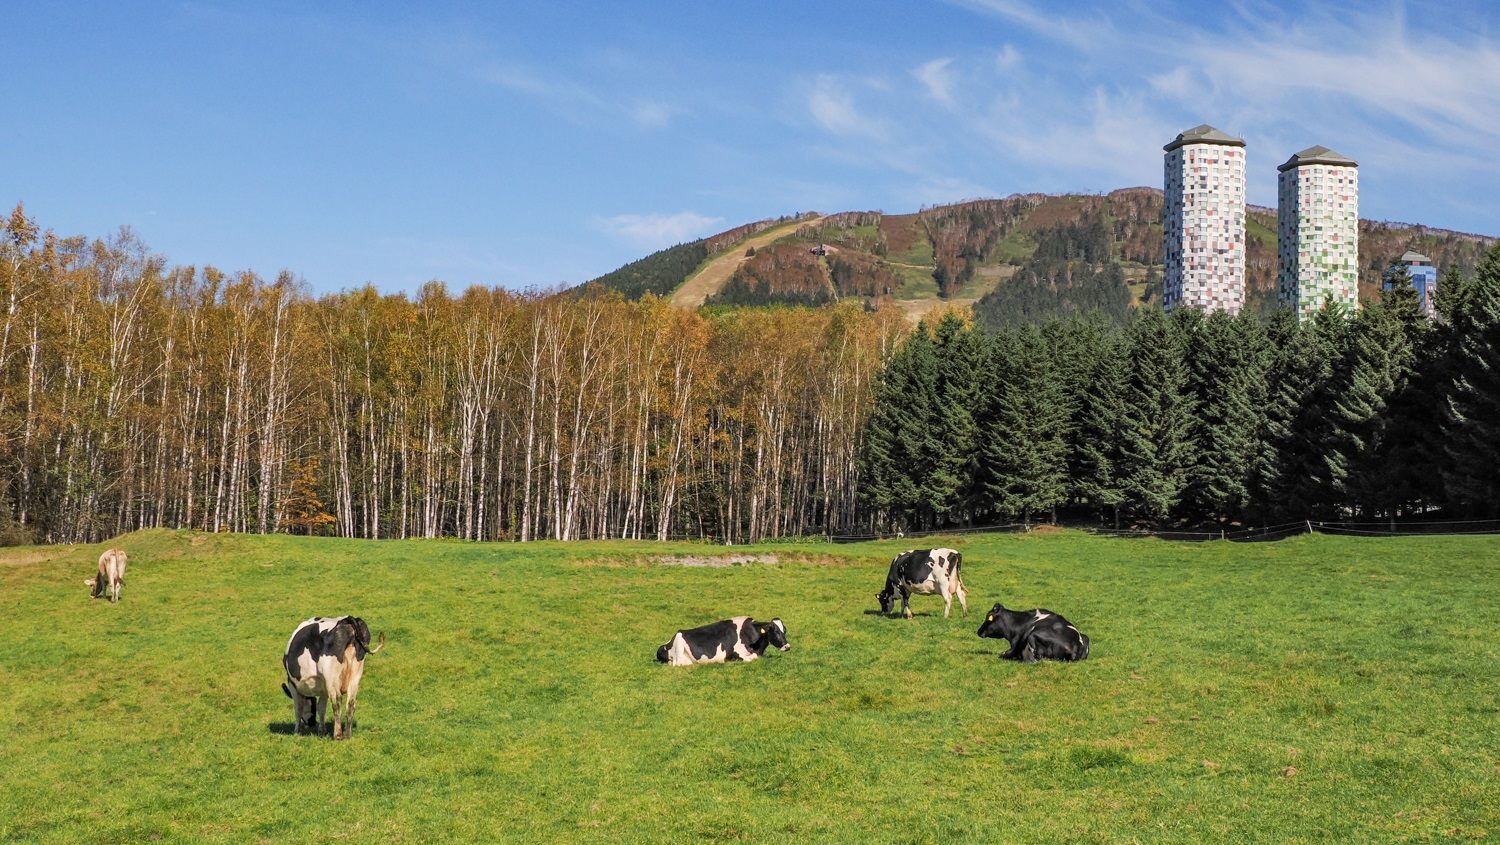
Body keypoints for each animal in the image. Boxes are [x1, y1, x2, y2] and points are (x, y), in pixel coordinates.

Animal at [660, 615, 798, 669]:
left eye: (784, 630)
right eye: (775, 631)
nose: (787, 646)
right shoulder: (733, 653)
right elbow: (753, 657)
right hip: (679, 642)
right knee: (678, 663)